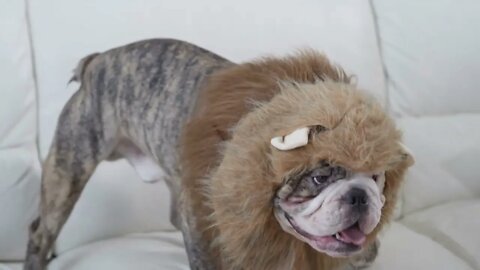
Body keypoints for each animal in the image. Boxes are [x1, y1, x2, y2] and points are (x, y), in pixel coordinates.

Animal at [24, 38, 412, 270]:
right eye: (319, 177)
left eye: (378, 178)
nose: (361, 195)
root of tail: (97, 61)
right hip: (69, 169)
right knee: (41, 231)